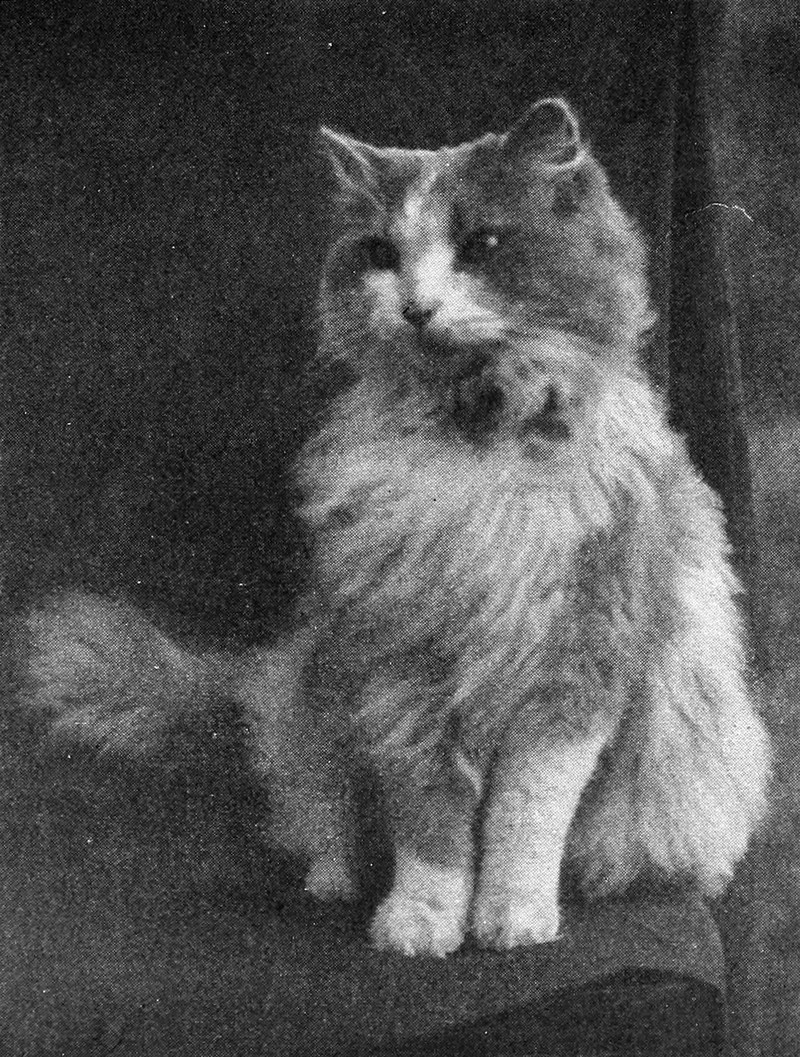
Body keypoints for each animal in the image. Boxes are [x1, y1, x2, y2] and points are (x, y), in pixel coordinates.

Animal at [17, 98, 770, 957]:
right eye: (381, 253)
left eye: (481, 246)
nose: (416, 307)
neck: (472, 439)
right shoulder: (403, 667)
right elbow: (431, 820)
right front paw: (420, 924)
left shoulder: (573, 663)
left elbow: (524, 818)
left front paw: (513, 918)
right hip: (313, 709)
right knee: (320, 819)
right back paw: (334, 880)